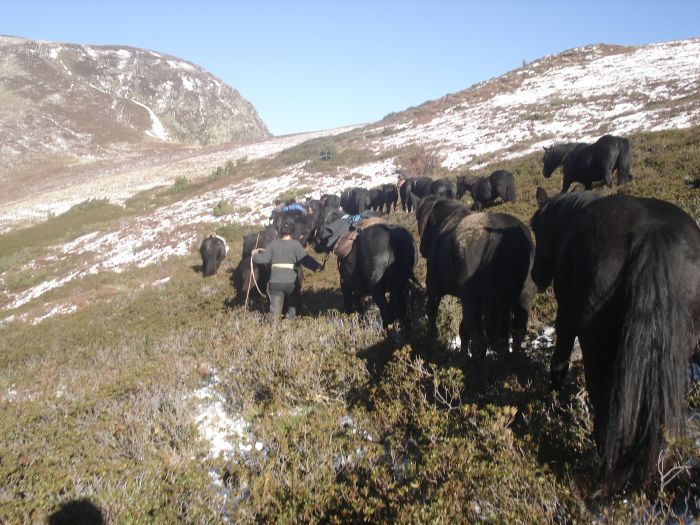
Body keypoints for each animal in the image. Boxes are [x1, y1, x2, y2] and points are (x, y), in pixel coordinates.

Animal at [416, 196, 536, 356]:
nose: (421, 248)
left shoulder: (434, 287)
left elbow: (432, 313)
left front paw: (432, 339)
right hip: (522, 299)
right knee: (517, 333)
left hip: (472, 301)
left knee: (477, 337)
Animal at [532, 187, 700, 492]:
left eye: (536, 226)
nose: (536, 275)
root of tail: (652, 232)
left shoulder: (566, 318)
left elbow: (559, 361)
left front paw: (552, 400)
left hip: (595, 344)